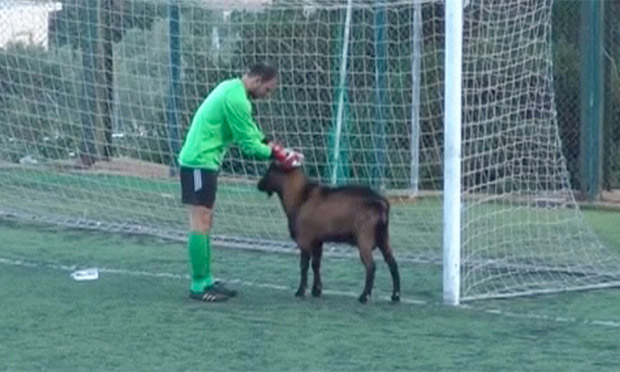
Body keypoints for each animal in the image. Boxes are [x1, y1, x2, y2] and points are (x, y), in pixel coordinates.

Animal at [256, 163, 402, 302]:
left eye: (272, 169)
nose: (259, 185)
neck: (300, 196)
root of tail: (382, 204)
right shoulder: (317, 241)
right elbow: (316, 264)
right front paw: (316, 290)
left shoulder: (305, 240)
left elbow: (304, 266)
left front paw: (300, 291)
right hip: (383, 237)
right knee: (392, 263)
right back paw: (395, 295)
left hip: (364, 239)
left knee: (371, 266)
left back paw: (364, 296)